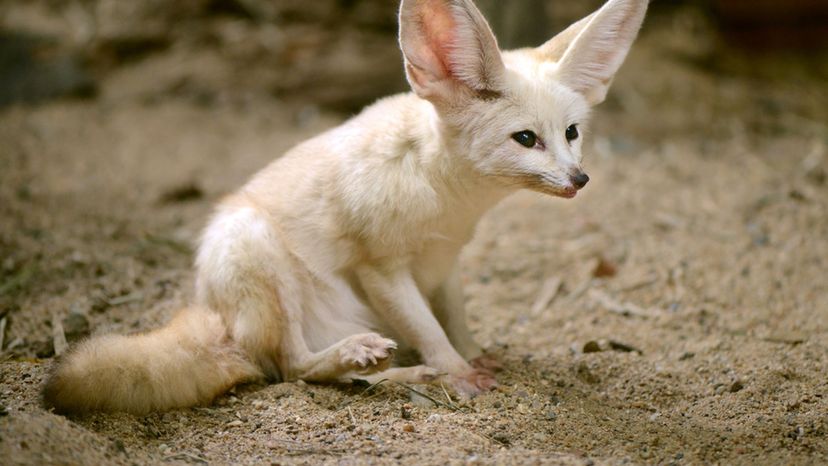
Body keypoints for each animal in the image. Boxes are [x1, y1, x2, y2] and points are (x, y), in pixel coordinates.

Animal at [43, 0, 648, 416]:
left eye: (571, 133)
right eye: (526, 139)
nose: (579, 179)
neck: (446, 199)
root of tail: (212, 313)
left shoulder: (446, 262)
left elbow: (454, 319)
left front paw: (473, 356)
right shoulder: (381, 269)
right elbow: (430, 330)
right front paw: (458, 373)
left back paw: (395, 372)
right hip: (259, 256)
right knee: (292, 369)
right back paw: (373, 361)